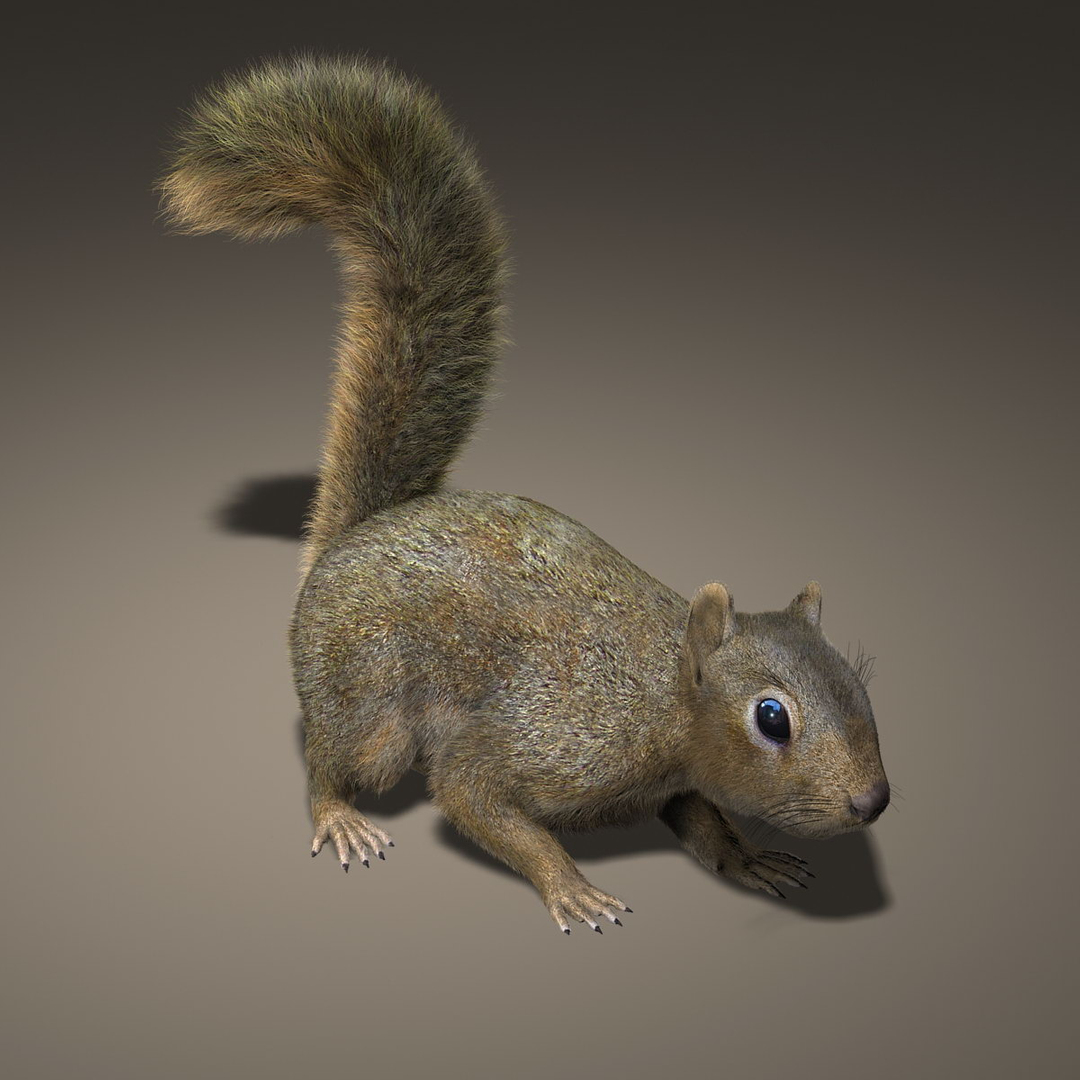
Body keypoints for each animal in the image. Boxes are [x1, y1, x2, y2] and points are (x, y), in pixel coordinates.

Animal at [160, 54, 890, 934]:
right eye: (771, 717)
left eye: (856, 678)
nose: (874, 800)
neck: (657, 697)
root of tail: (353, 535)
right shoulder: (541, 736)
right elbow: (472, 795)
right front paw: (570, 884)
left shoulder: (672, 783)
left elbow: (702, 820)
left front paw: (747, 857)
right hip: (365, 697)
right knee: (331, 758)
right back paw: (339, 814)